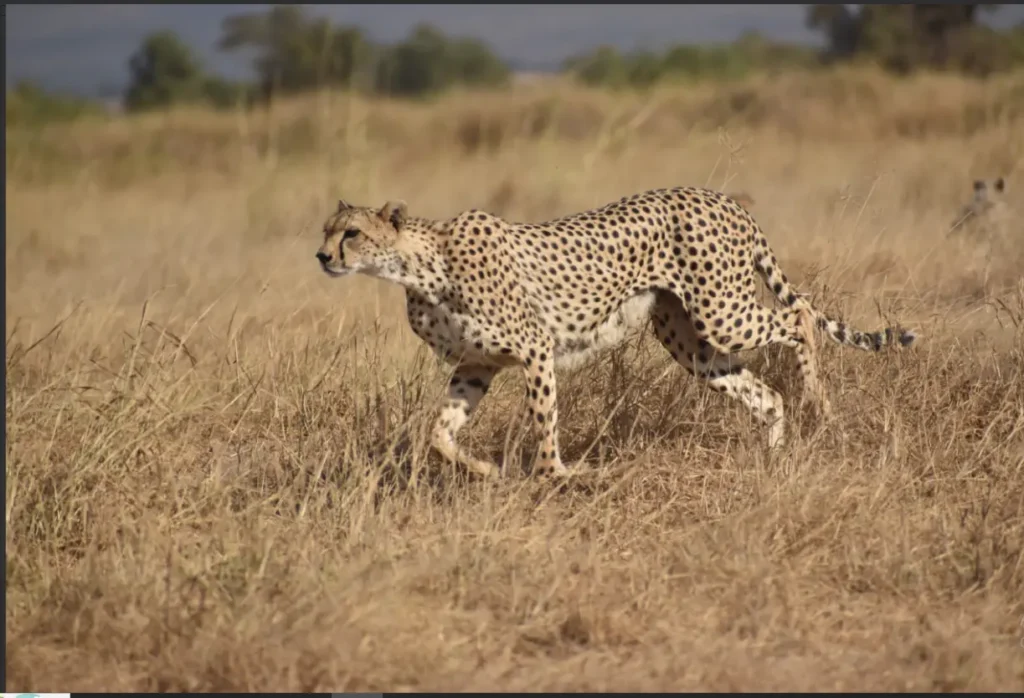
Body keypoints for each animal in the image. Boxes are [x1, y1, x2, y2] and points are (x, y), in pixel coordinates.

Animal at [315, 187, 917, 479]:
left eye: (352, 233)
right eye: (325, 230)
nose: (321, 257)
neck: (419, 266)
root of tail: (718, 196)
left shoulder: (534, 348)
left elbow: (544, 425)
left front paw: (558, 475)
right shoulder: (476, 365)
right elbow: (438, 435)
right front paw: (484, 469)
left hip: (721, 311)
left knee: (800, 317)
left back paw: (819, 403)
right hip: (689, 340)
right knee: (765, 393)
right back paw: (773, 458)